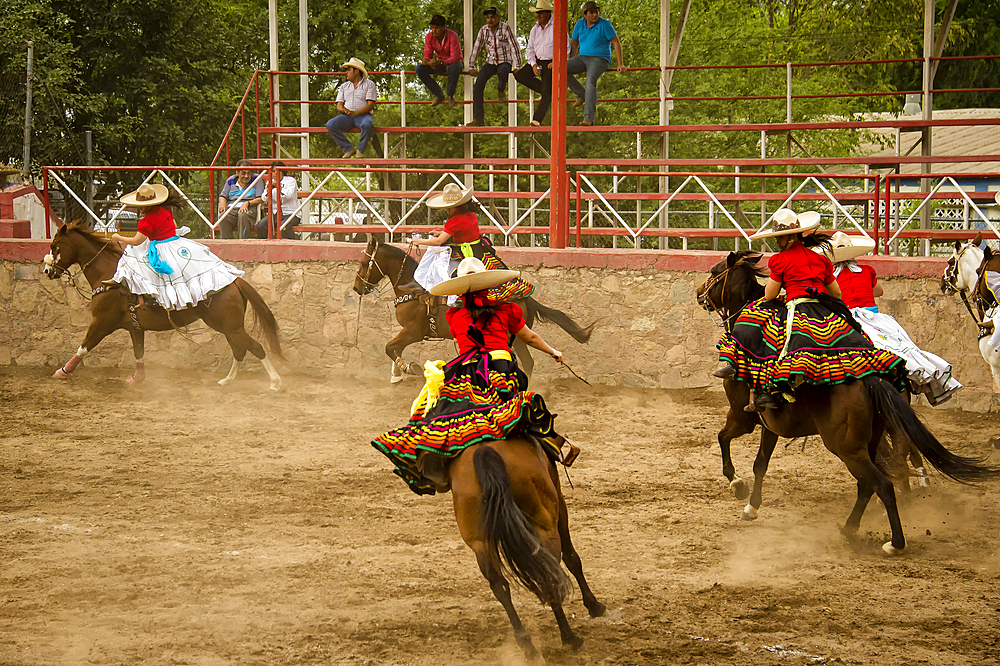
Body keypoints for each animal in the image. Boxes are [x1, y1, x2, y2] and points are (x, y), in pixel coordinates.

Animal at [42, 223, 286, 390]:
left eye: (54, 246)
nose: (46, 271)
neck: (109, 275)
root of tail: (235, 281)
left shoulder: (101, 322)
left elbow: (83, 347)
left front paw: (62, 371)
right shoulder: (134, 327)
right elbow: (138, 352)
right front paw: (137, 378)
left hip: (231, 327)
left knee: (255, 347)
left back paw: (275, 382)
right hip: (228, 327)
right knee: (240, 350)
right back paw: (227, 380)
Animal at [354, 236, 592, 382]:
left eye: (364, 263)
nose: (357, 287)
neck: (412, 286)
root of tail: (526, 299)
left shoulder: (413, 331)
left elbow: (390, 348)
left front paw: (409, 368)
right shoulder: (410, 332)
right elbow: (394, 349)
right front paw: (397, 375)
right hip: (519, 336)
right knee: (528, 362)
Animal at [450, 434, 604, 656]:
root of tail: (484, 451)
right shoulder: (560, 504)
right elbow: (572, 558)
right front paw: (594, 606)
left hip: (481, 544)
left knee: (500, 586)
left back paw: (527, 644)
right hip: (545, 528)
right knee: (549, 577)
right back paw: (570, 638)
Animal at [696, 249, 1000, 548]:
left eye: (714, 272)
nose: (700, 293)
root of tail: (871, 378)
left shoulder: (741, 415)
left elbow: (723, 439)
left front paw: (737, 485)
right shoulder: (769, 425)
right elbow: (760, 463)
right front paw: (752, 506)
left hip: (845, 446)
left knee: (882, 482)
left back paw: (893, 541)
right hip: (871, 438)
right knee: (882, 472)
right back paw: (856, 525)